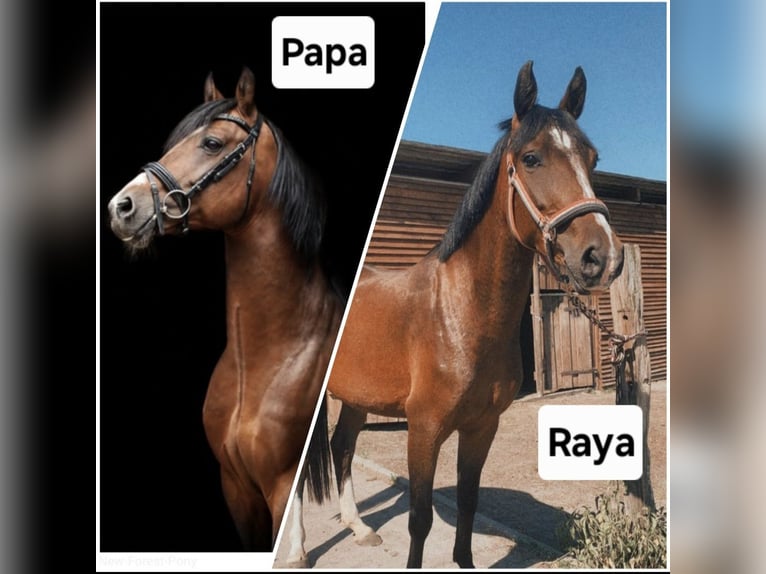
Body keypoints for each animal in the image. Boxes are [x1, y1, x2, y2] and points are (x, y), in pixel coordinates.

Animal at [307, 61, 625, 568]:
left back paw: (359, 528)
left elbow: (470, 502)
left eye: (592, 159)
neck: (460, 315)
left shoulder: (481, 427)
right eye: (531, 158)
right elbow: (419, 519)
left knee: (342, 447)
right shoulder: (423, 430)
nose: (603, 256)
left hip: (357, 397)